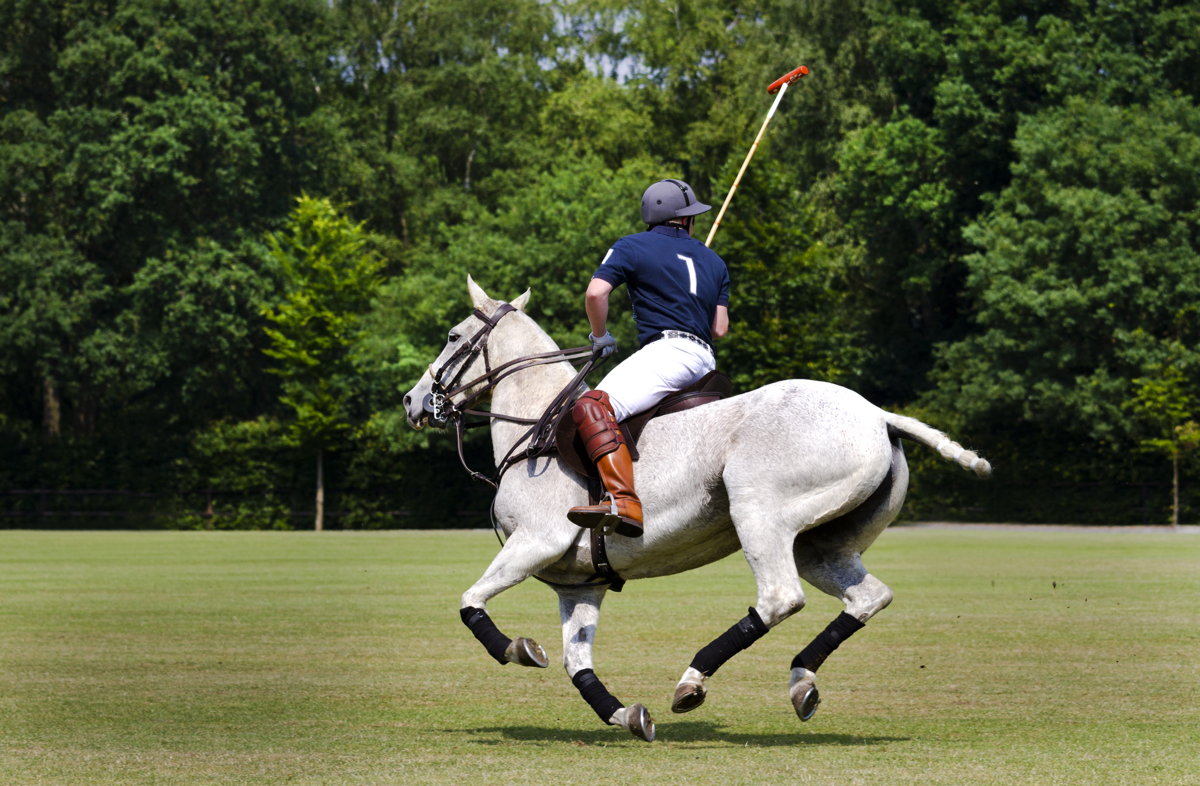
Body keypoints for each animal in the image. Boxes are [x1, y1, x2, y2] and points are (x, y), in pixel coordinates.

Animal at [402, 277, 991, 742]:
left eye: (453, 336)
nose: (413, 402)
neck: (535, 430)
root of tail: (878, 415)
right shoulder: (579, 583)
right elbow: (576, 662)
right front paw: (627, 716)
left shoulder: (536, 541)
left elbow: (470, 602)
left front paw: (520, 649)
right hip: (821, 543)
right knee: (869, 596)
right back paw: (802, 681)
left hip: (758, 511)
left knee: (779, 598)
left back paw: (693, 680)